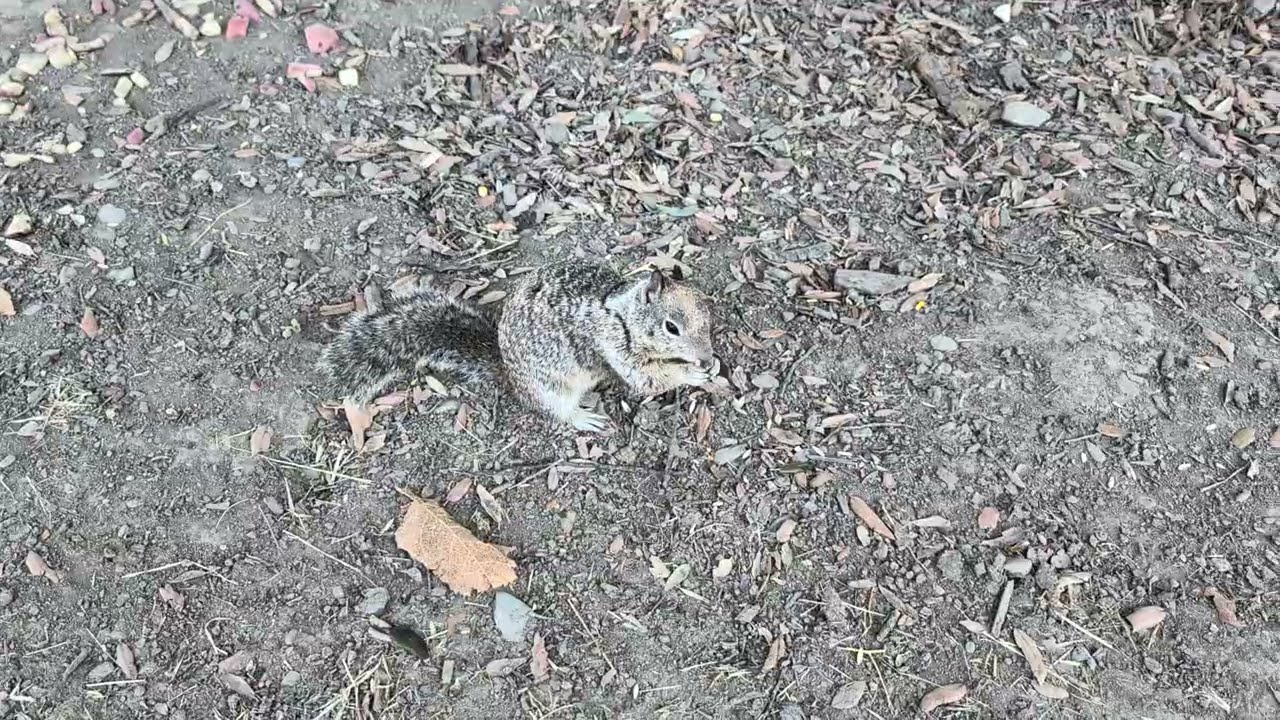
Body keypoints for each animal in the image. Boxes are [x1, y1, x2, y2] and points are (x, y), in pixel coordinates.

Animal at [317, 260, 715, 432]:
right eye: (671, 327)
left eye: (708, 313)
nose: (707, 356)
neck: (621, 312)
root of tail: (508, 374)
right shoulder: (615, 347)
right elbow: (649, 380)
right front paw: (693, 374)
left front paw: (710, 367)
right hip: (552, 390)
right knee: (556, 412)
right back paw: (583, 417)